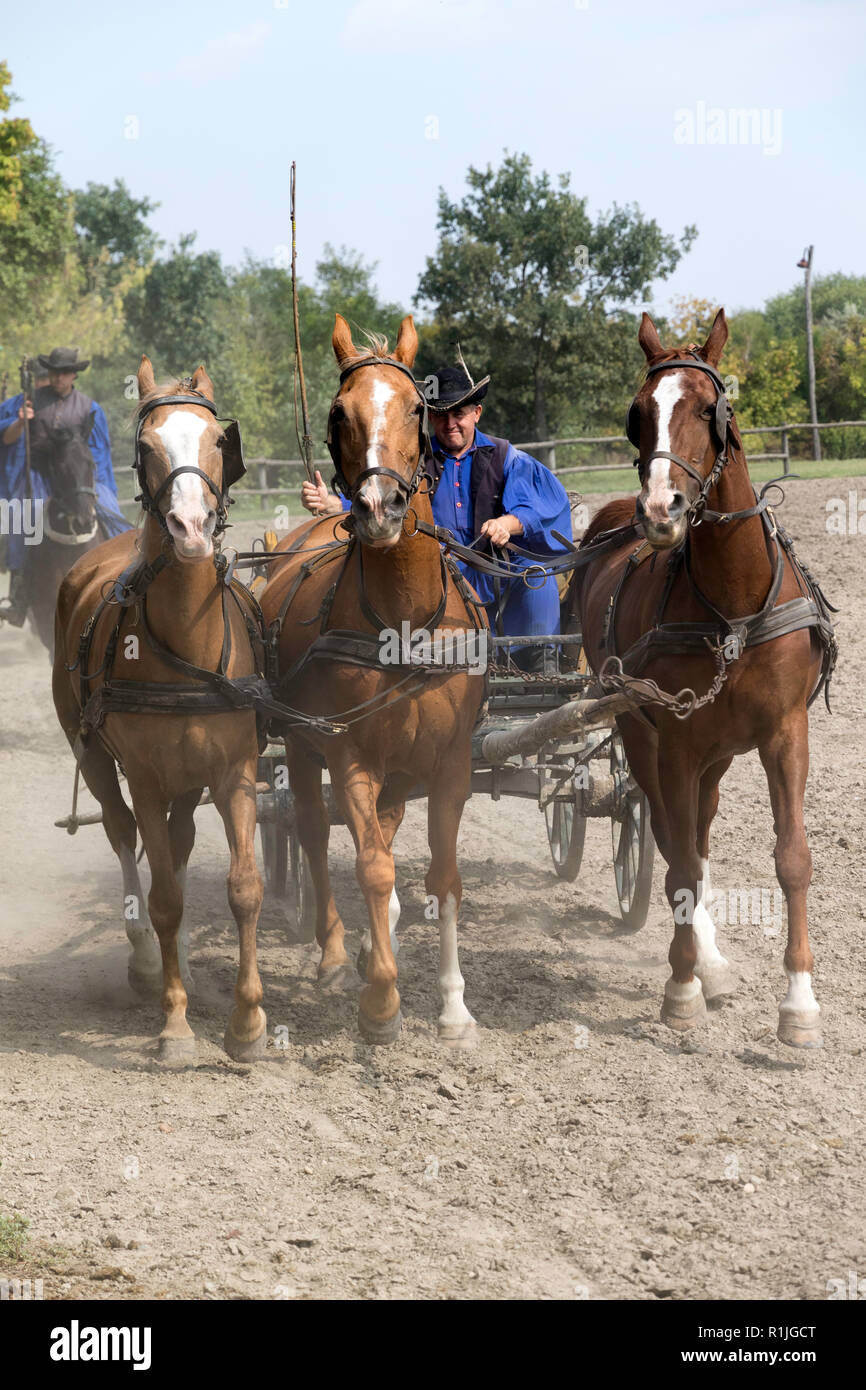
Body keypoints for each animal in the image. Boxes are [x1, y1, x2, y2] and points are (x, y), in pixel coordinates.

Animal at [53, 358, 265, 1061]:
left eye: (219, 440)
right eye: (145, 447)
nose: (191, 528)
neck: (186, 643)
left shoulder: (234, 773)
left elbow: (243, 887)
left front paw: (248, 1023)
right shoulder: (144, 777)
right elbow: (166, 897)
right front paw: (174, 1026)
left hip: (188, 780)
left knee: (177, 840)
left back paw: (186, 966)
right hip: (92, 755)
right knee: (124, 837)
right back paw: (148, 961)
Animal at [257, 315, 489, 1045]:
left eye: (416, 407)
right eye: (339, 412)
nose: (379, 506)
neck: (404, 620)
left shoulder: (449, 763)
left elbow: (443, 877)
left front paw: (453, 1006)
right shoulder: (350, 752)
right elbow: (371, 865)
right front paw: (382, 1000)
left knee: (383, 829)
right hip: (302, 746)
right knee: (312, 830)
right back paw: (337, 953)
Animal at [578, 315, 839, 1045]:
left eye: (706, 409)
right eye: (639, 414)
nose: (660, 511)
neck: (735, 603)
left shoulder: (785, 733)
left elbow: (792, 858)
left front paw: (799, 1005)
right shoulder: (676, 739)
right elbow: (681, 864)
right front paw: (682, 985)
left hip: (719, 752)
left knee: (697, 830)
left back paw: (714, 958)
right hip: (642, 737)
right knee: (674, 841)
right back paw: (699, 962)